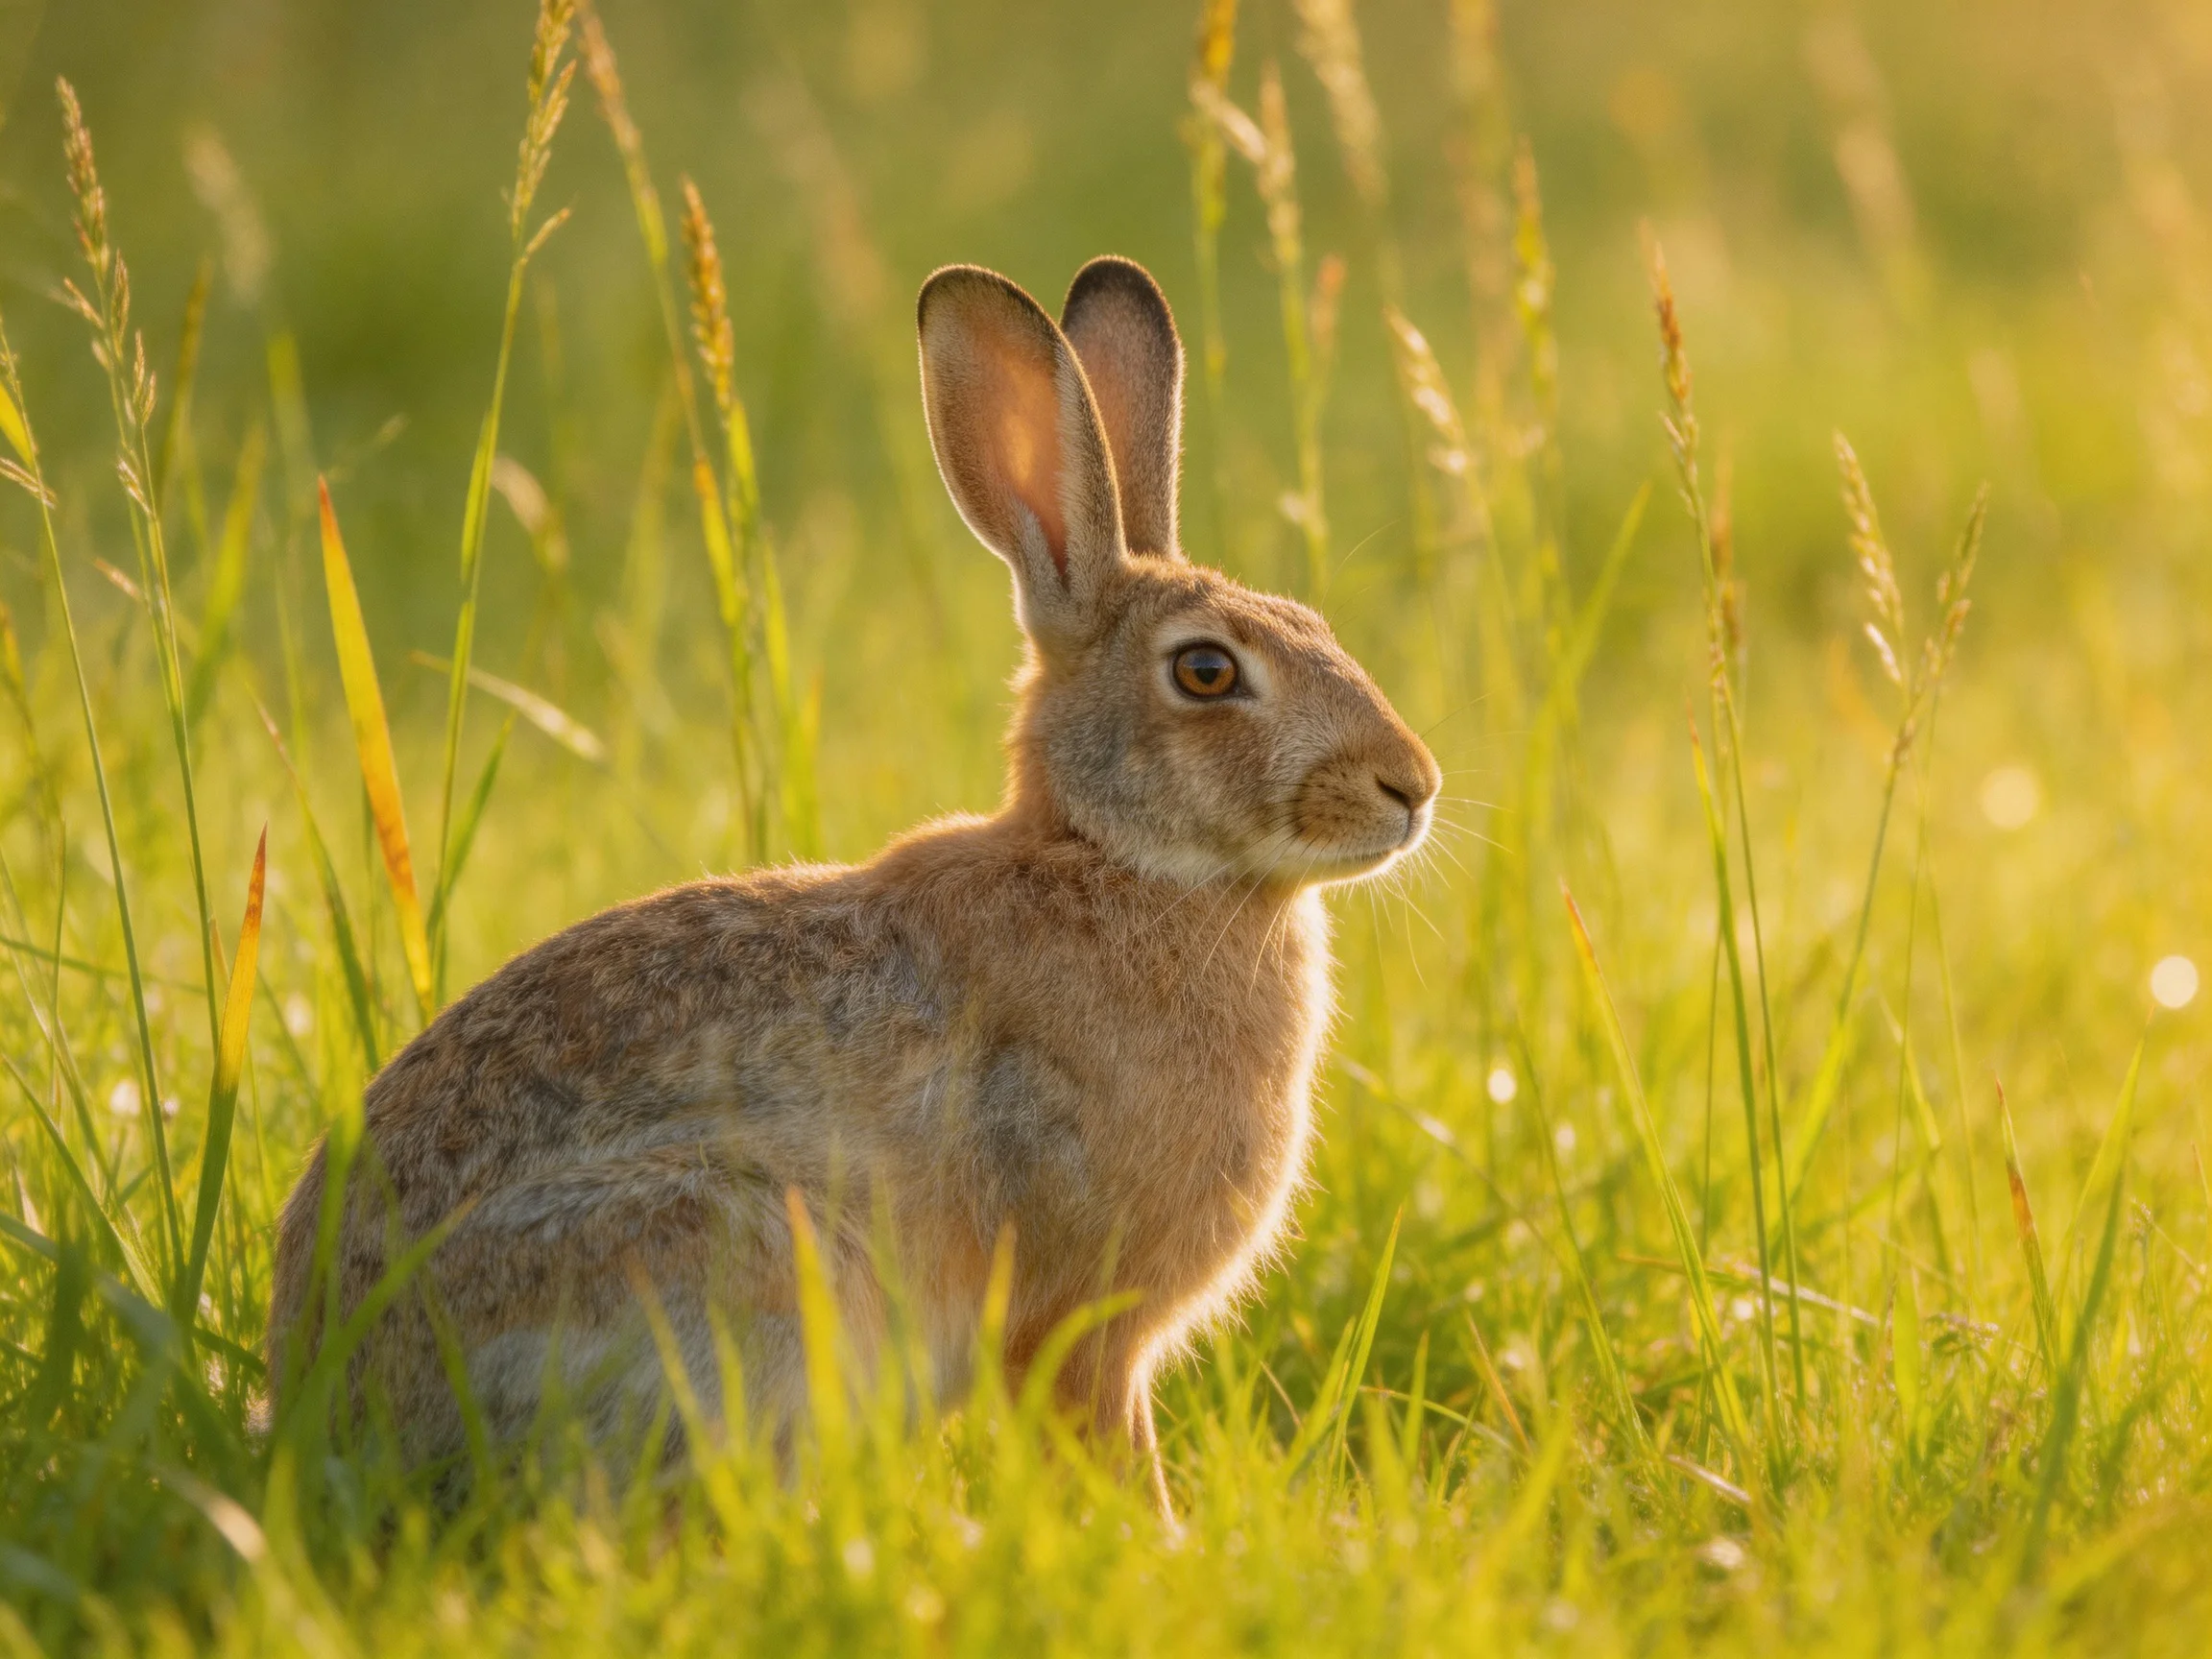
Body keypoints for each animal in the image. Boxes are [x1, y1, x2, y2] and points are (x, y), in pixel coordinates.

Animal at [267, 255, 1439, 1517]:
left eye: (1316, 625)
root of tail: (331, 1412)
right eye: (1208, 671)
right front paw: (1159, 1544)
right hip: (729, 1257)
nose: (1412, 786)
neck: (1115, 859)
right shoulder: (1082, 1323)